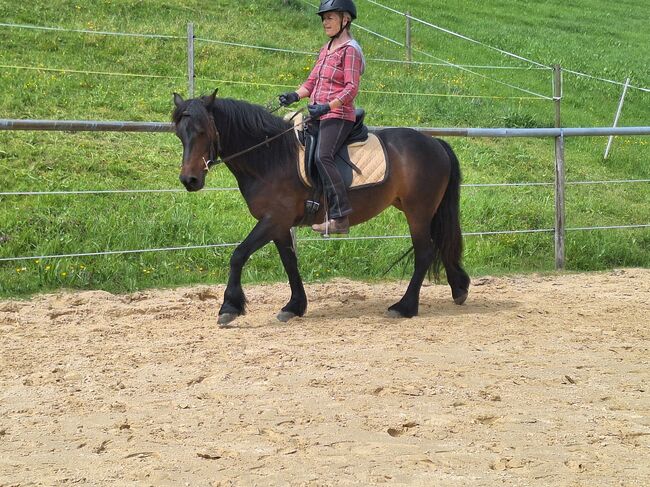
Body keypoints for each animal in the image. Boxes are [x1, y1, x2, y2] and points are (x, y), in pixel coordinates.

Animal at [171, 90, 466, 328]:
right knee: (441, 246)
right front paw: (294, 306)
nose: (189, 180)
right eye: (180, 134)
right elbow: (289, 262)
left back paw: (405, 307)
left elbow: (238, 255)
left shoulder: (273, 219)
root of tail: (435, 143)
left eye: (202, 131)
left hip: (418, 212)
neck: (272, 157)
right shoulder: (279, 225)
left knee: (425, 253)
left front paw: (229, 308)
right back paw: (459, 288)